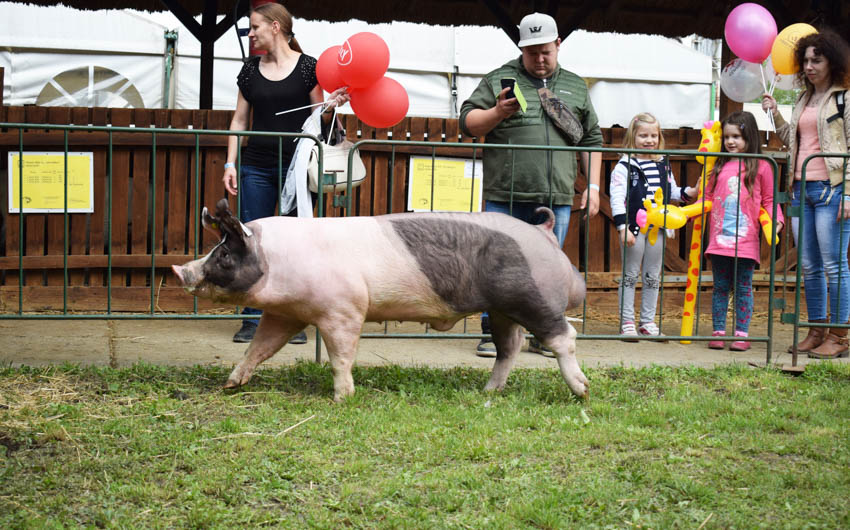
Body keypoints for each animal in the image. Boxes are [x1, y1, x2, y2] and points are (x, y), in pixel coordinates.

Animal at [169, 198, 588, 400]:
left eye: (225, 254)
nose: (180, 270)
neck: (278, 261)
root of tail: (544, 232)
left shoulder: (343, 309)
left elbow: (341, 356)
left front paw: (343, 398)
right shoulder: (286, 315)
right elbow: (259, 348)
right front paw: (231, 385)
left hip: (531, 297)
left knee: (563, 337)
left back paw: (582, 392)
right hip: (501, 310)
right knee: (509, 346)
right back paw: (488, 392)